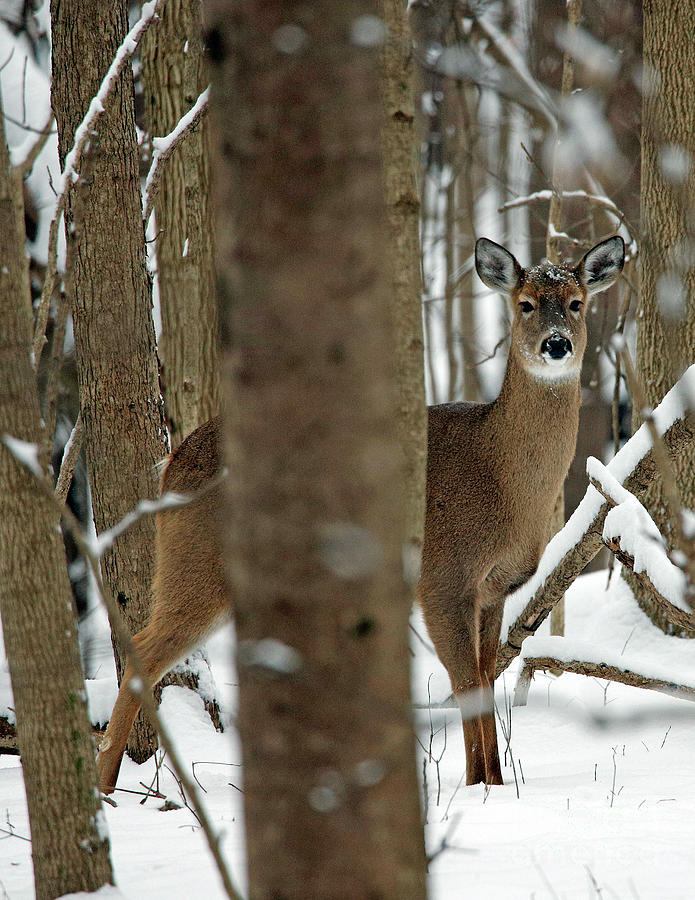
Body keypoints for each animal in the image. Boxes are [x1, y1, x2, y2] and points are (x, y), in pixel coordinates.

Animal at [94, 234, 624, 796]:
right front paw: (479, 788)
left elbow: (484, 678)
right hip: (198, 561)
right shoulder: (442, 577)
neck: (499, 477)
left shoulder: (494, 589)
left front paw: (493, 785)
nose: (556, 344)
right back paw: (105, 787)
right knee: (144, 648)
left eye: (576, 303)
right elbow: (464, 682)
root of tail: (172, 464)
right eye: (524, 304)